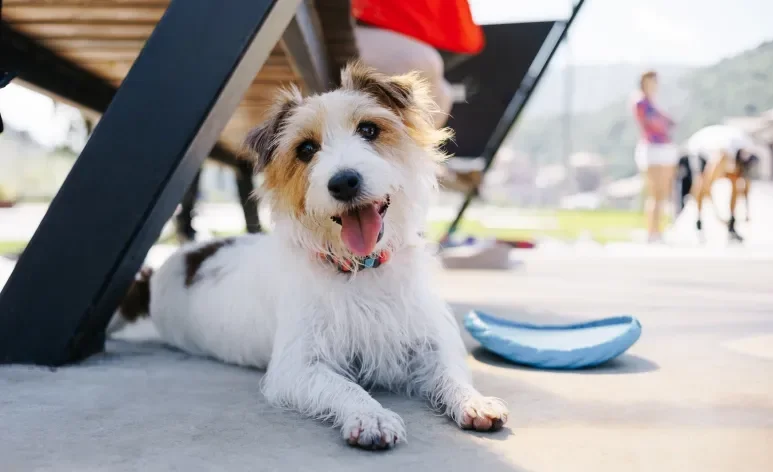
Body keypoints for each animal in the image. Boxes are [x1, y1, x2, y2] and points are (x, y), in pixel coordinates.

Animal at [108, 62, 506, 450]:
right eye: (305, 149)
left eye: (369, 129)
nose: (344, 182)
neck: (359, 269)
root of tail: (173, 264)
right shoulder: (298, 367)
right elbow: (345, 387)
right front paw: (371, 416)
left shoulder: (426, 343)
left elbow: (450, 373)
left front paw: (474, 400)